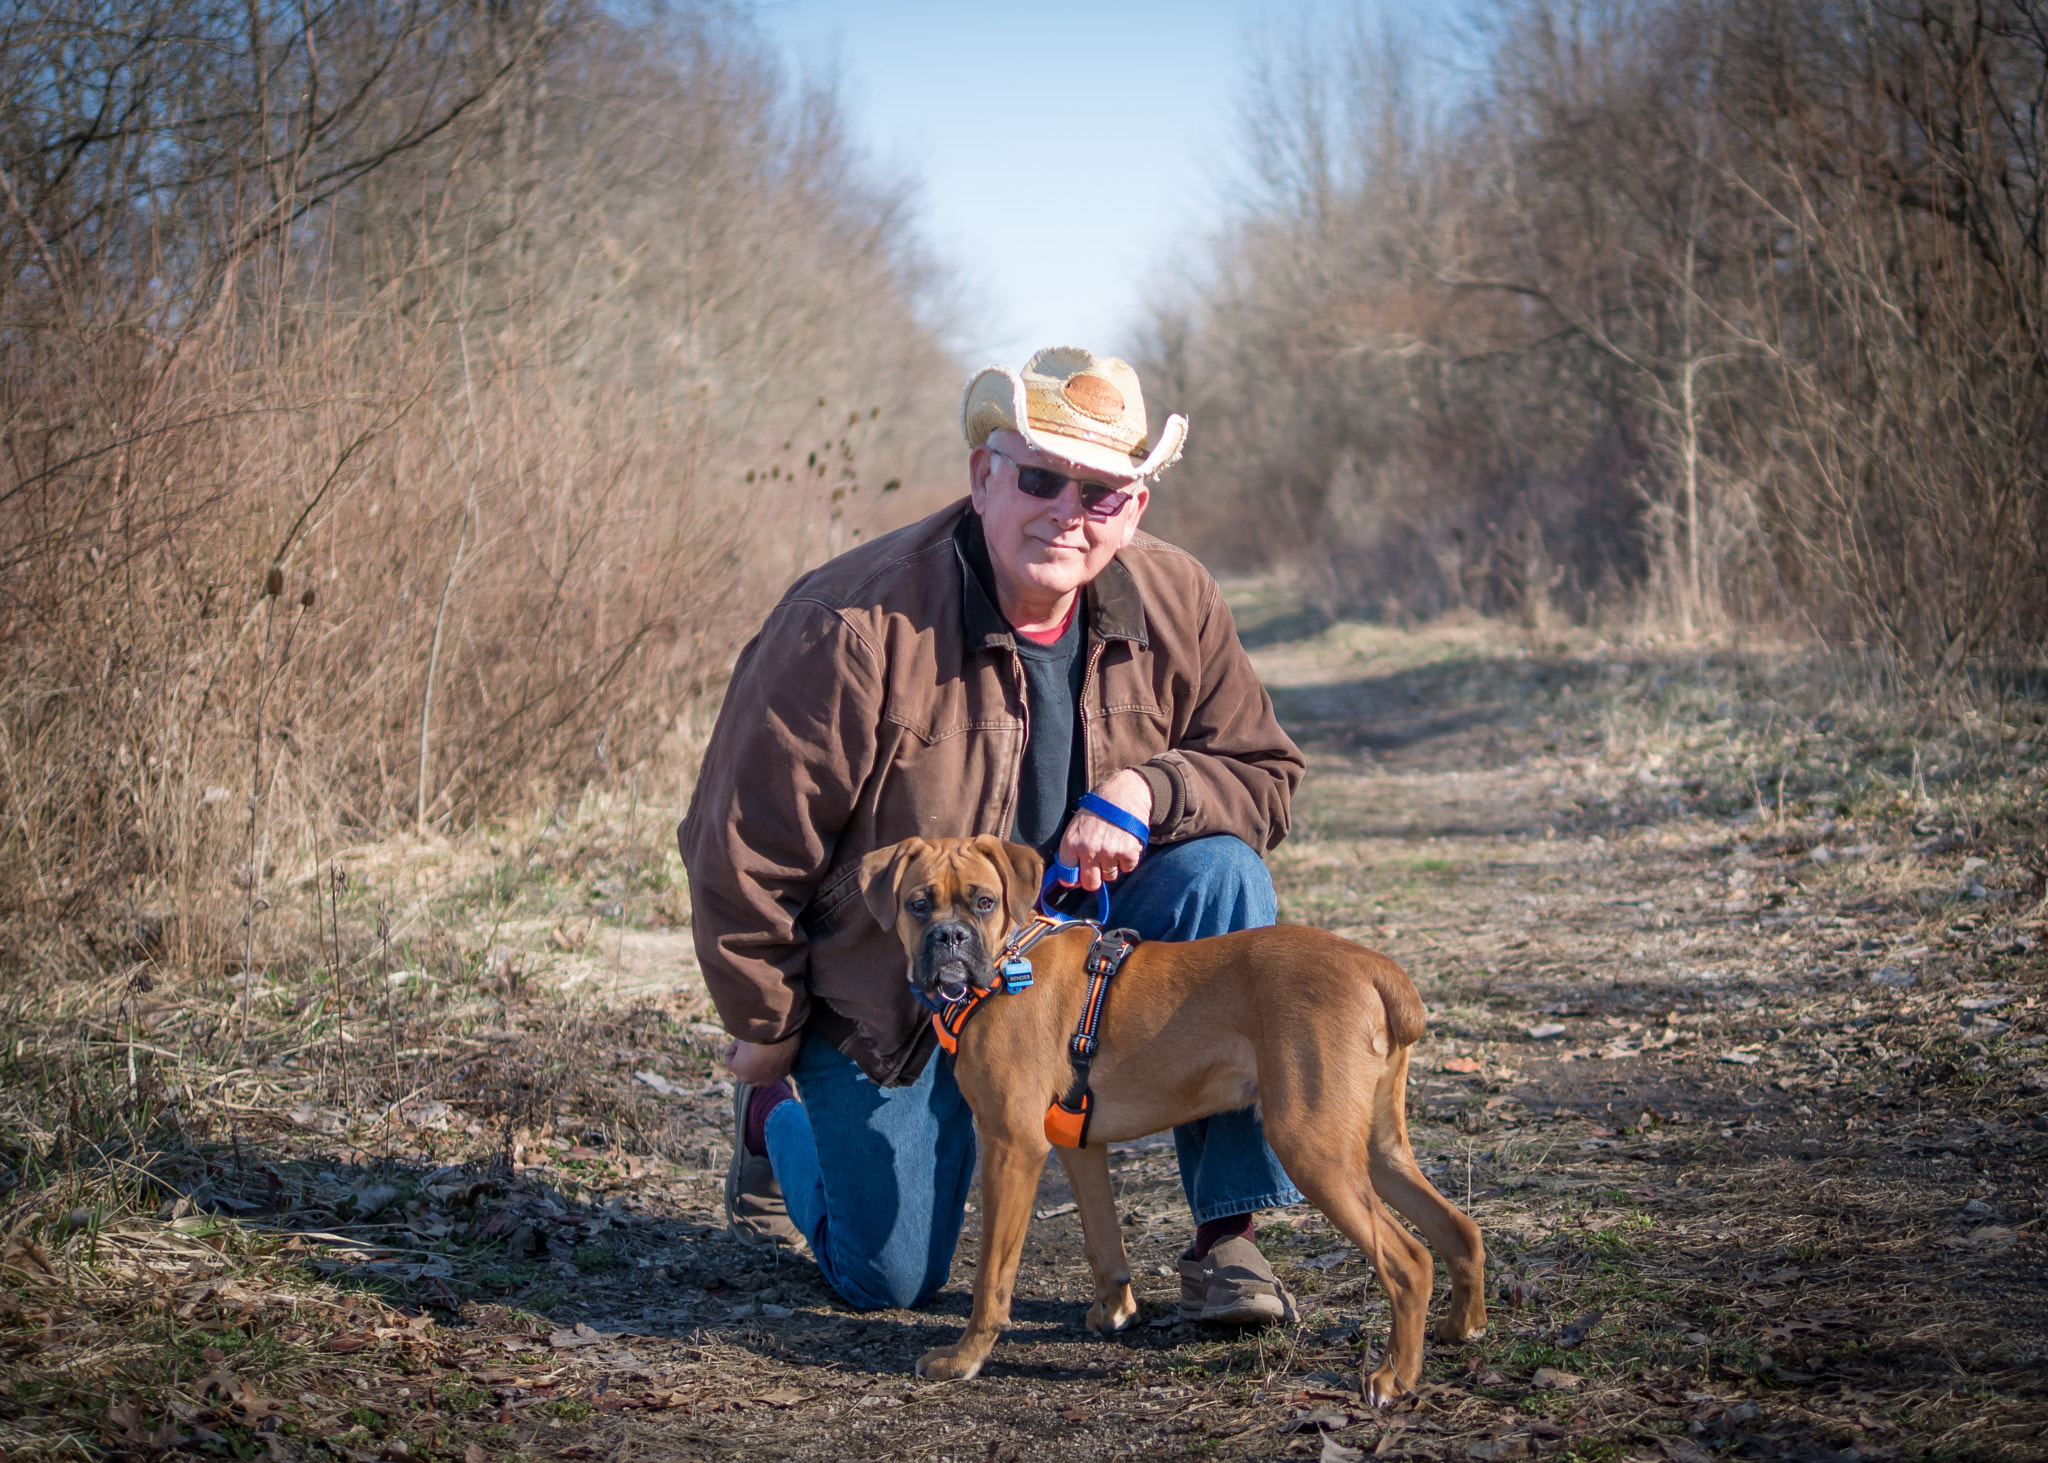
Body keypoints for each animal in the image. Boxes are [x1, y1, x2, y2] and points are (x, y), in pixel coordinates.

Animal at [856, 827, 1482, 1393]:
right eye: (918, 904)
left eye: (984, 901)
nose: (950, 936)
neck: (1012, 955)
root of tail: (1376, 968)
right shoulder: (1077, 1145)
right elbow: (1103, 1239)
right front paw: (1114, 1311)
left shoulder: (1012, 1146)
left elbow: (993, 1275)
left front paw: (965, 1357)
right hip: (1374, 1146)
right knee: (1459, 1228)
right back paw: (1462, 1328)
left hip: (1313, 1148)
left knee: (1409, 1261)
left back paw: (1394, 1376)